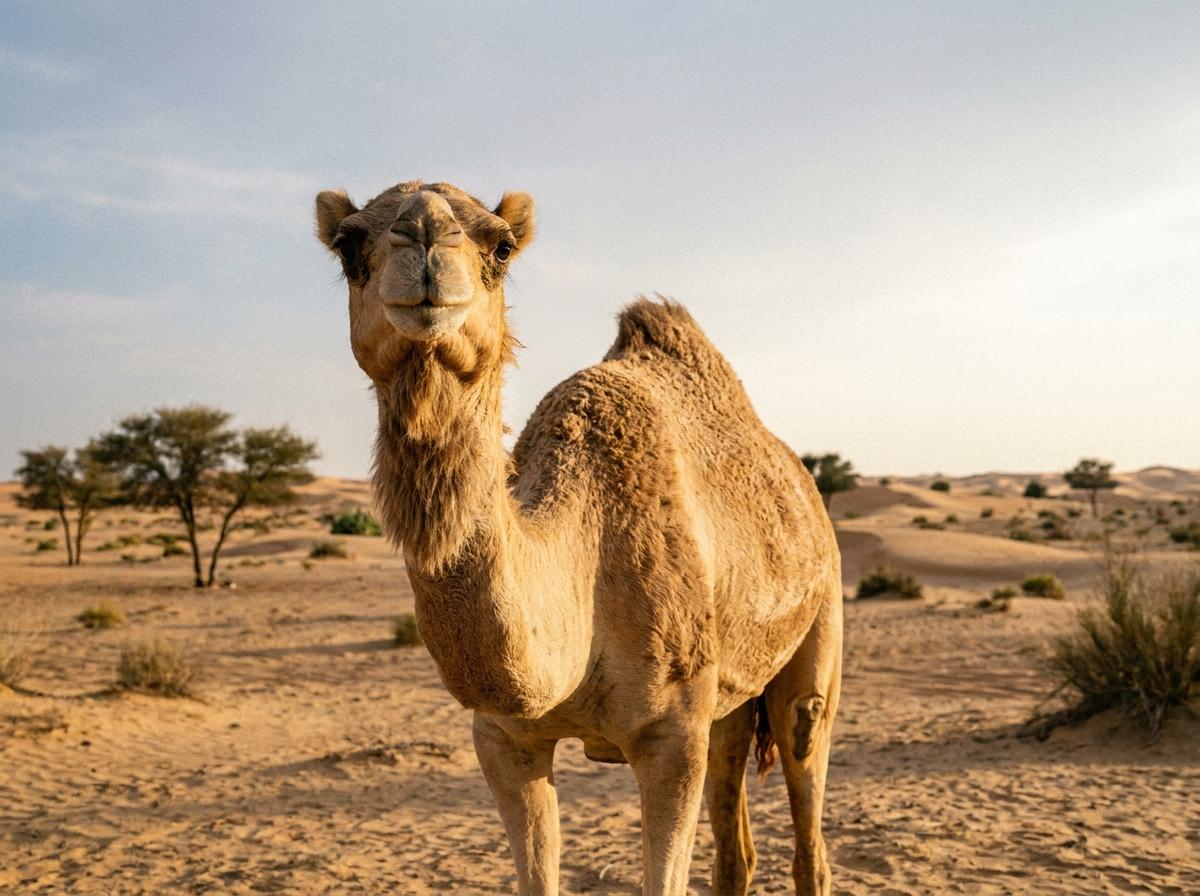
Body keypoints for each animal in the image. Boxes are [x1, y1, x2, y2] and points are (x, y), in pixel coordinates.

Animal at [315, 180, 843, 896]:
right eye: (348, 246)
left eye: (501, 247)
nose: (423, 233)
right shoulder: (504, 740)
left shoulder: (672, 737)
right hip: (732, 689)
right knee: (736, 832)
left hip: (820, 618)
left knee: (805, 761)